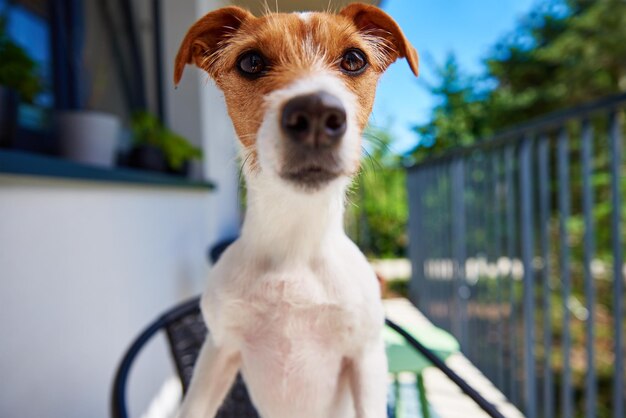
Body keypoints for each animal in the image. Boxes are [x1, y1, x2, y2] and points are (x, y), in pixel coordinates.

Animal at [173, 4, 416, 418]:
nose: (316, 114)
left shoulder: (366, 358)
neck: (296, 247)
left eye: (354, 60)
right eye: (251, 62)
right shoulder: (217, 352)